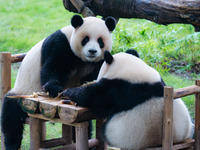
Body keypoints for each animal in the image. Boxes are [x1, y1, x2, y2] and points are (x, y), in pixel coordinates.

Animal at [1, 14, 115, 149]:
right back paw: (12, 143)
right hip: (23, 92)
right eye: (86, 39)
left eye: (100, 41)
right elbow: (52, 67)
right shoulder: (60, 43)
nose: (92, 51)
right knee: (11, 114)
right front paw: (54, 89)